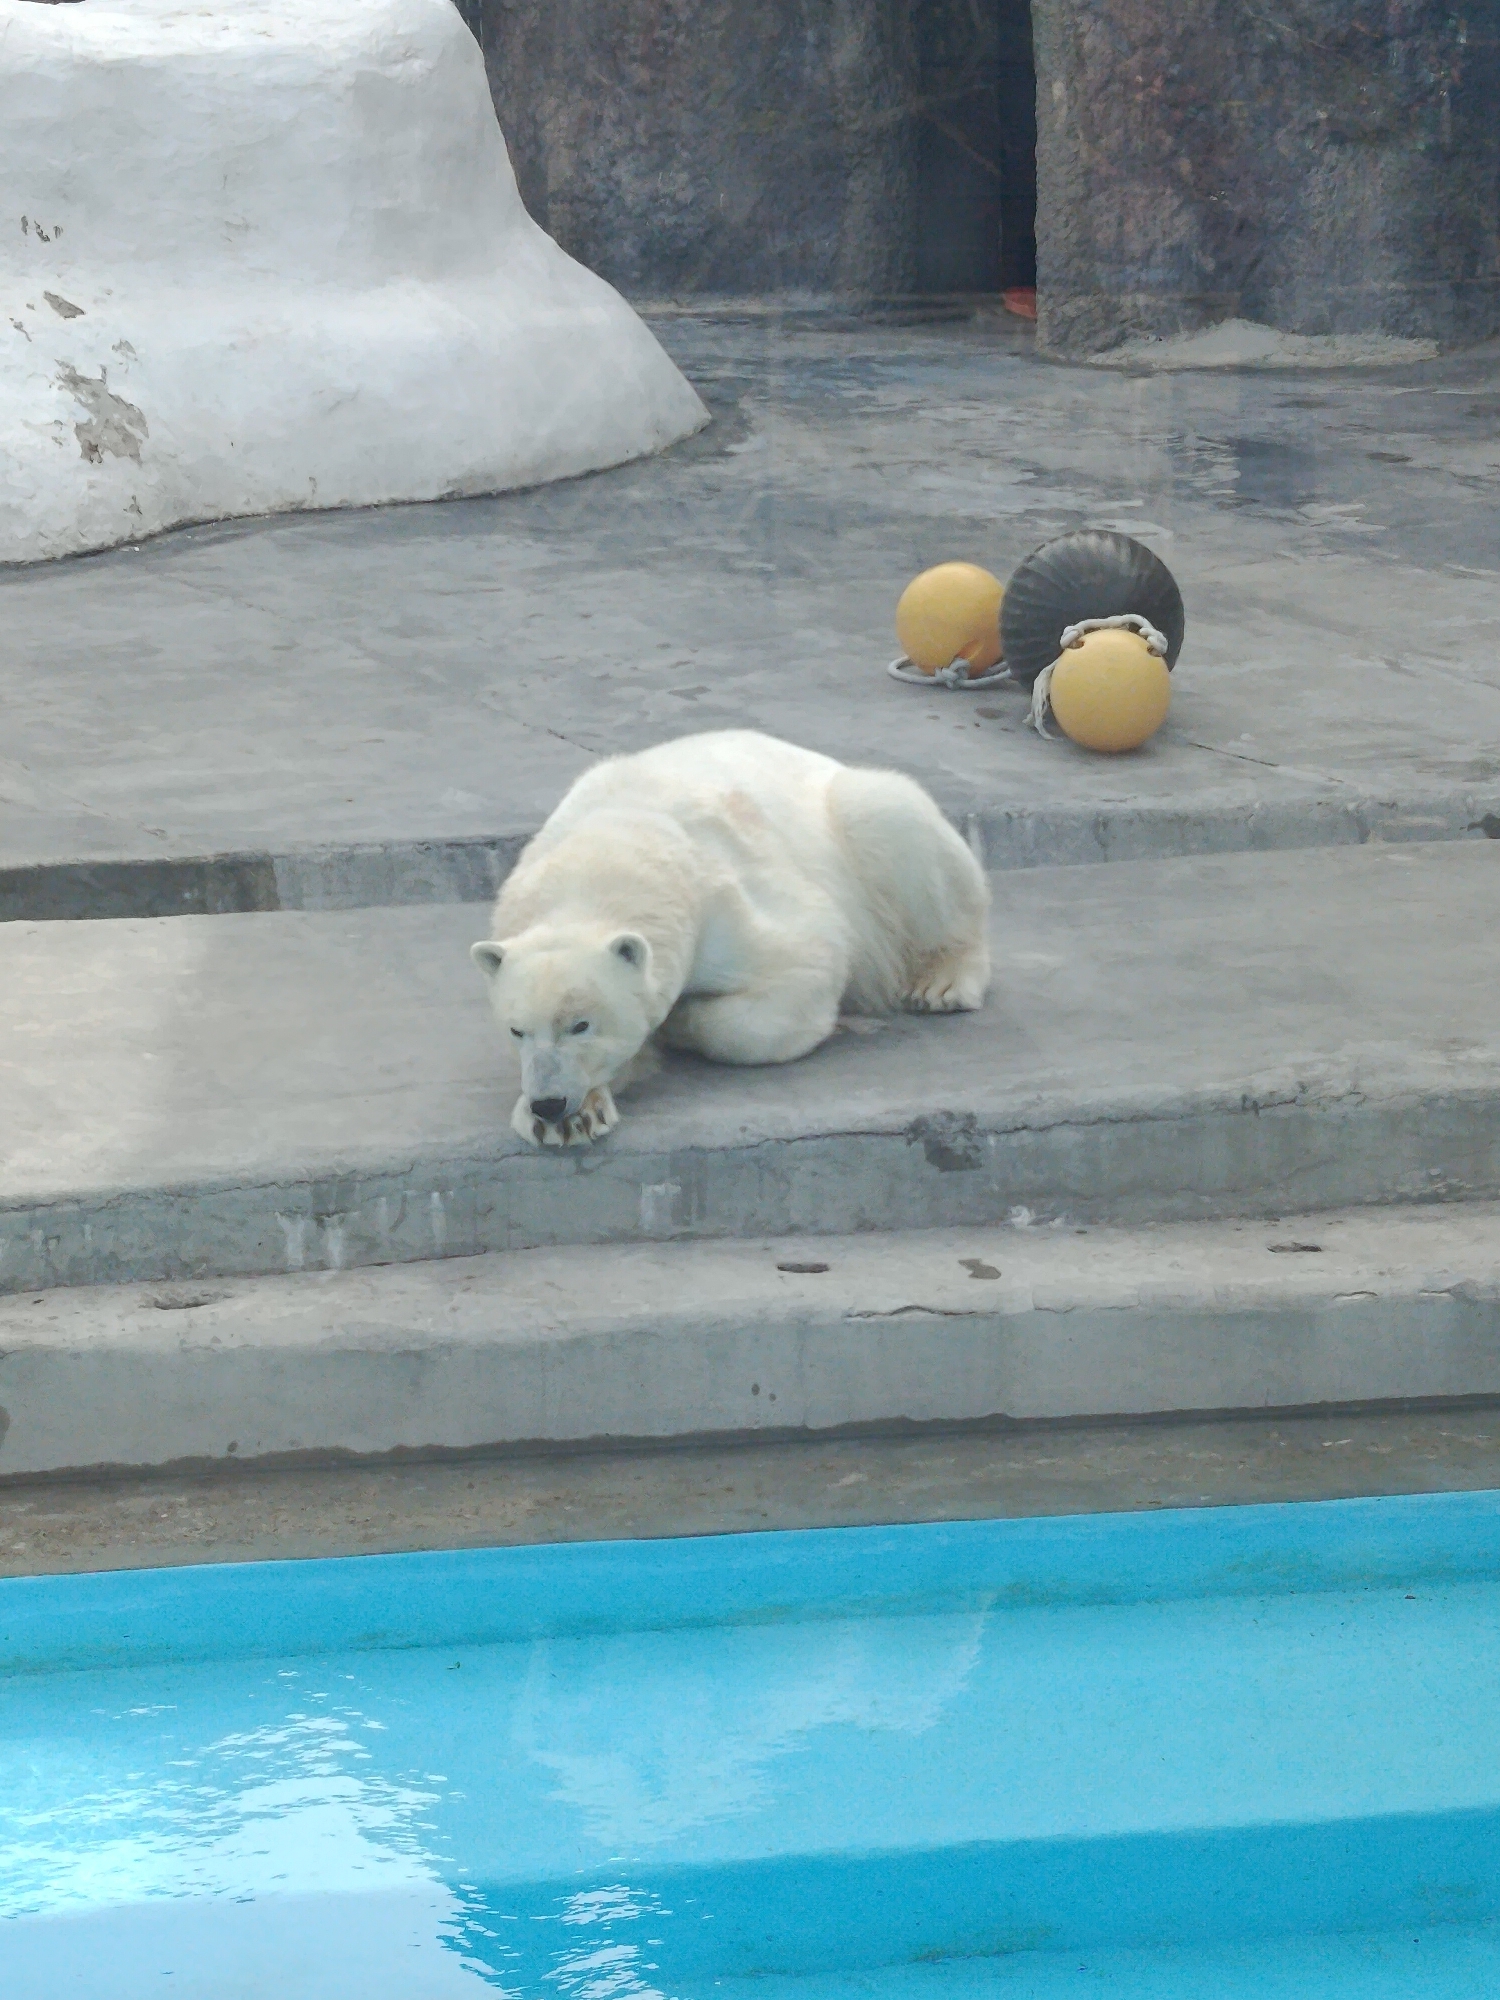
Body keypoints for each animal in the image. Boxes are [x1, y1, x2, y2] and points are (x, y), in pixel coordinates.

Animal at [470, 729, 990, 1147]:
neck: (608, 850)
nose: (548, 1103)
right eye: (516, 1029)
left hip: (856, 826)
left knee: (889, 817)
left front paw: (677, 1025)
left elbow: (803, 963)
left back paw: (942, 981)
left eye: (581, 1024)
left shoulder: (724, 903)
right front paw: (572, 1119)